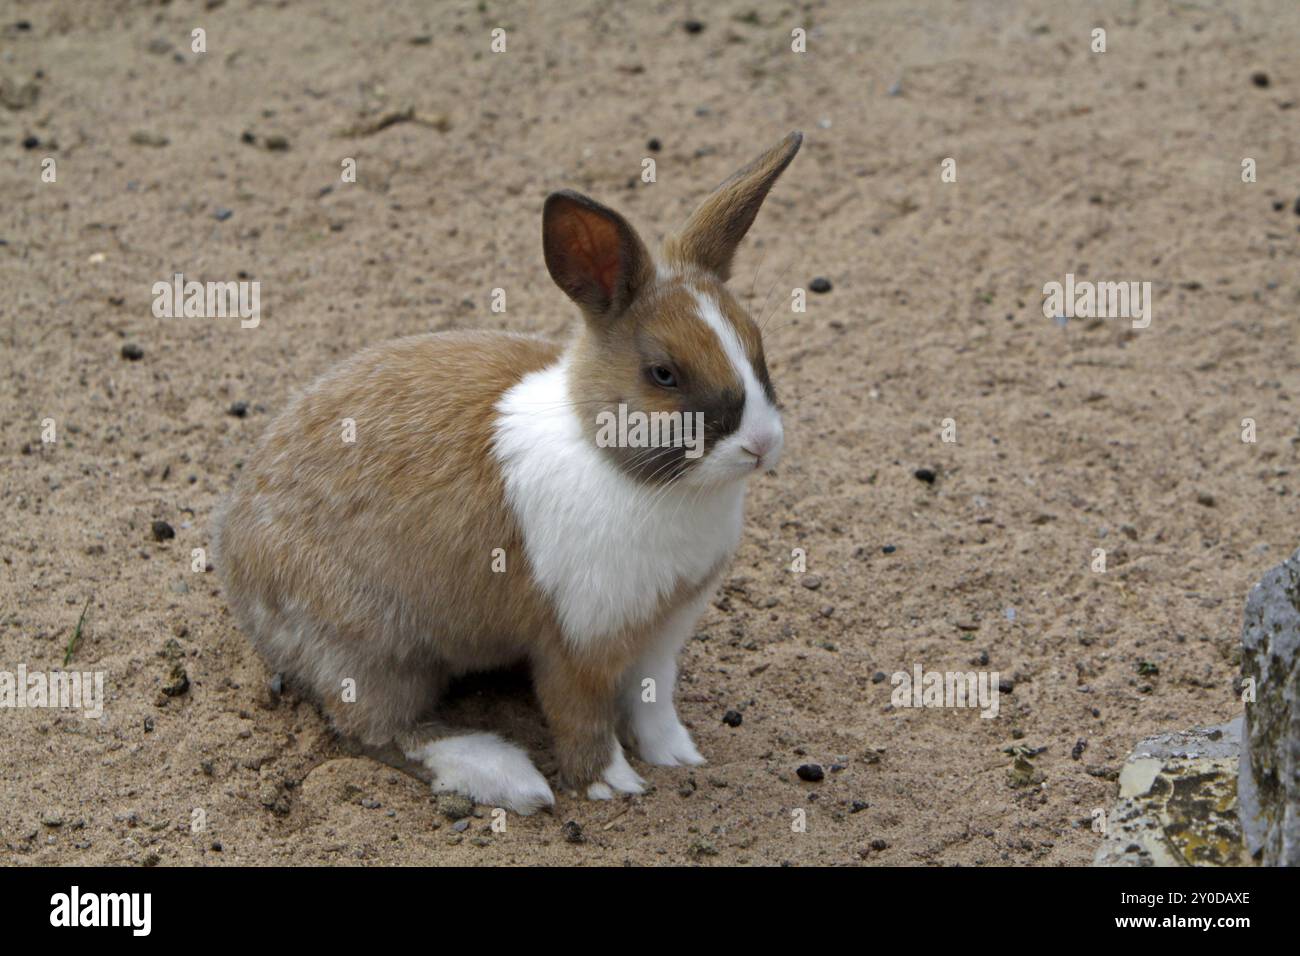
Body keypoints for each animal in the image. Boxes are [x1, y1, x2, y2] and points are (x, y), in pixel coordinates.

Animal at [212, 131, 802, 814]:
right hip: (373, 650)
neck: (628, 471)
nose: (761, 445)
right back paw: (505, 776)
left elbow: (653, 702)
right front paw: (610, 783)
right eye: (663, 374)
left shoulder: (661, 636)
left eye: (758, 346)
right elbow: (579, 716)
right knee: (377, 730)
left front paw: (678, 756)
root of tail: (233, 563)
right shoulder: (574, 641)